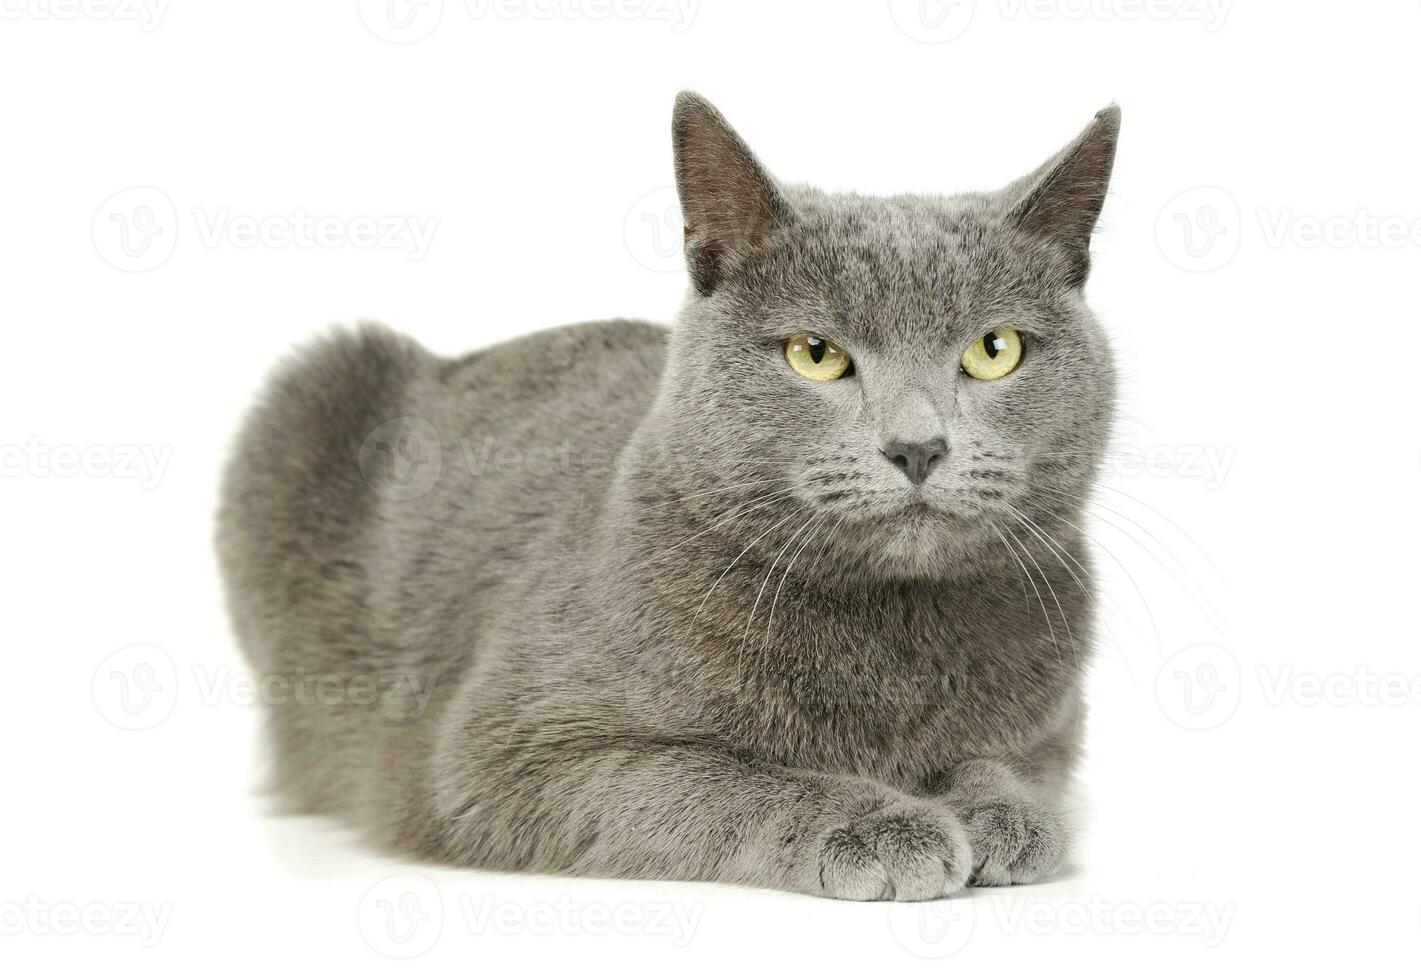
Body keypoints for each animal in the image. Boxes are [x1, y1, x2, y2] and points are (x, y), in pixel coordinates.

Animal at [213, 95, 1119, 897]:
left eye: (994, 350)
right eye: (816, 354)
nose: (917, 446)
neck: (892, 638)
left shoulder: (1056, 726)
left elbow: (1011, 764)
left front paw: (1002, 812)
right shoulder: (504, 758)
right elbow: (727, 778)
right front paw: (879, 824)